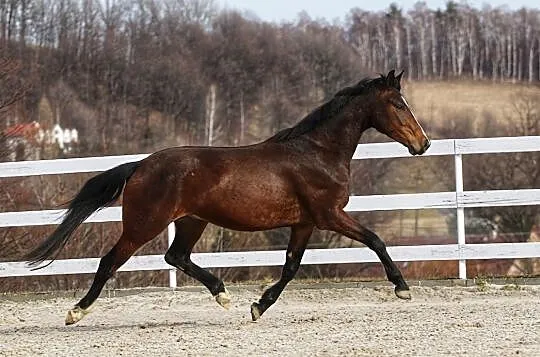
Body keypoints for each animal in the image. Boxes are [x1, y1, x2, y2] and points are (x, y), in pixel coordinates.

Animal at [25, 70, 430, 326]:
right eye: (397, 104)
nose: (423, 144)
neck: (317, 152)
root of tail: (141, 165)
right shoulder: (329, 215)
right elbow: (375, 240)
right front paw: (402, 288)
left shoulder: (304, 222)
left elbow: (291, 266)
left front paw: (258, 307)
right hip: (145, 224)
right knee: (110, 261)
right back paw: (76, 312)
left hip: (191, 221)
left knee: (176, 256)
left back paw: (222, 294)